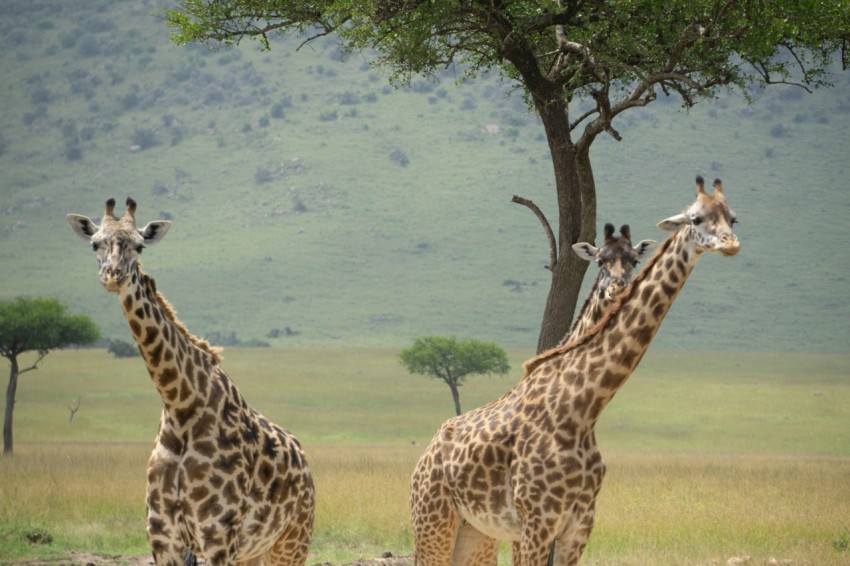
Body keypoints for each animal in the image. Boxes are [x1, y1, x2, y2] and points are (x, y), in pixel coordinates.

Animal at [66, 200, 312, 566]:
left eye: (139, 245)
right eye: (95, 243)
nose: (113, 275)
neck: (180, 405)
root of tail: (306, 463)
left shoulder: (217, 531)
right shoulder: (161, 533)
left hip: (291, 541)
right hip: (253, 551)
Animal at [410, 178, 736, 566]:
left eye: (732, 216)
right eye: (696, 218)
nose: (730, 242)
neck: (584, 409)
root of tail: (424, 457)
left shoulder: (579, 525)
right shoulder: (535, 523)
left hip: (476, 534)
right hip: (433, 524)